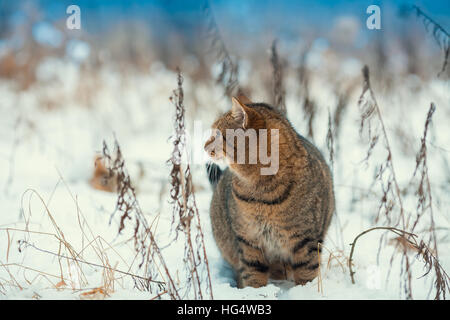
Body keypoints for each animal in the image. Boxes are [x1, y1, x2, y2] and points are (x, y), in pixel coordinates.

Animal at [204, 95, 334, 288]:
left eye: (218, 134)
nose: (204, 146)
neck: (262, 191)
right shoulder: (248, 239)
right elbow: (253, 273)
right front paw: (255, 292)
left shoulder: (306, 239)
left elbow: (306, 272)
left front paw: (305, 290)